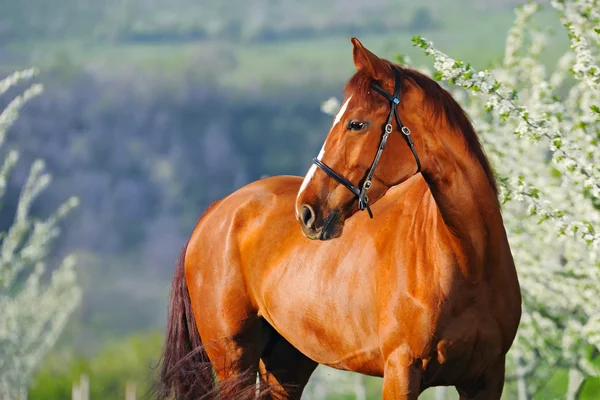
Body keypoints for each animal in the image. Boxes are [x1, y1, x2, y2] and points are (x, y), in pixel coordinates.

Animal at [157, 37, 524, 400]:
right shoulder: (401, 372)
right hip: (234, 362)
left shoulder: (486, 379)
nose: (306, 211)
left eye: (356, 123)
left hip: (287, 363)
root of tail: (218, 209)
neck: (468, 261)